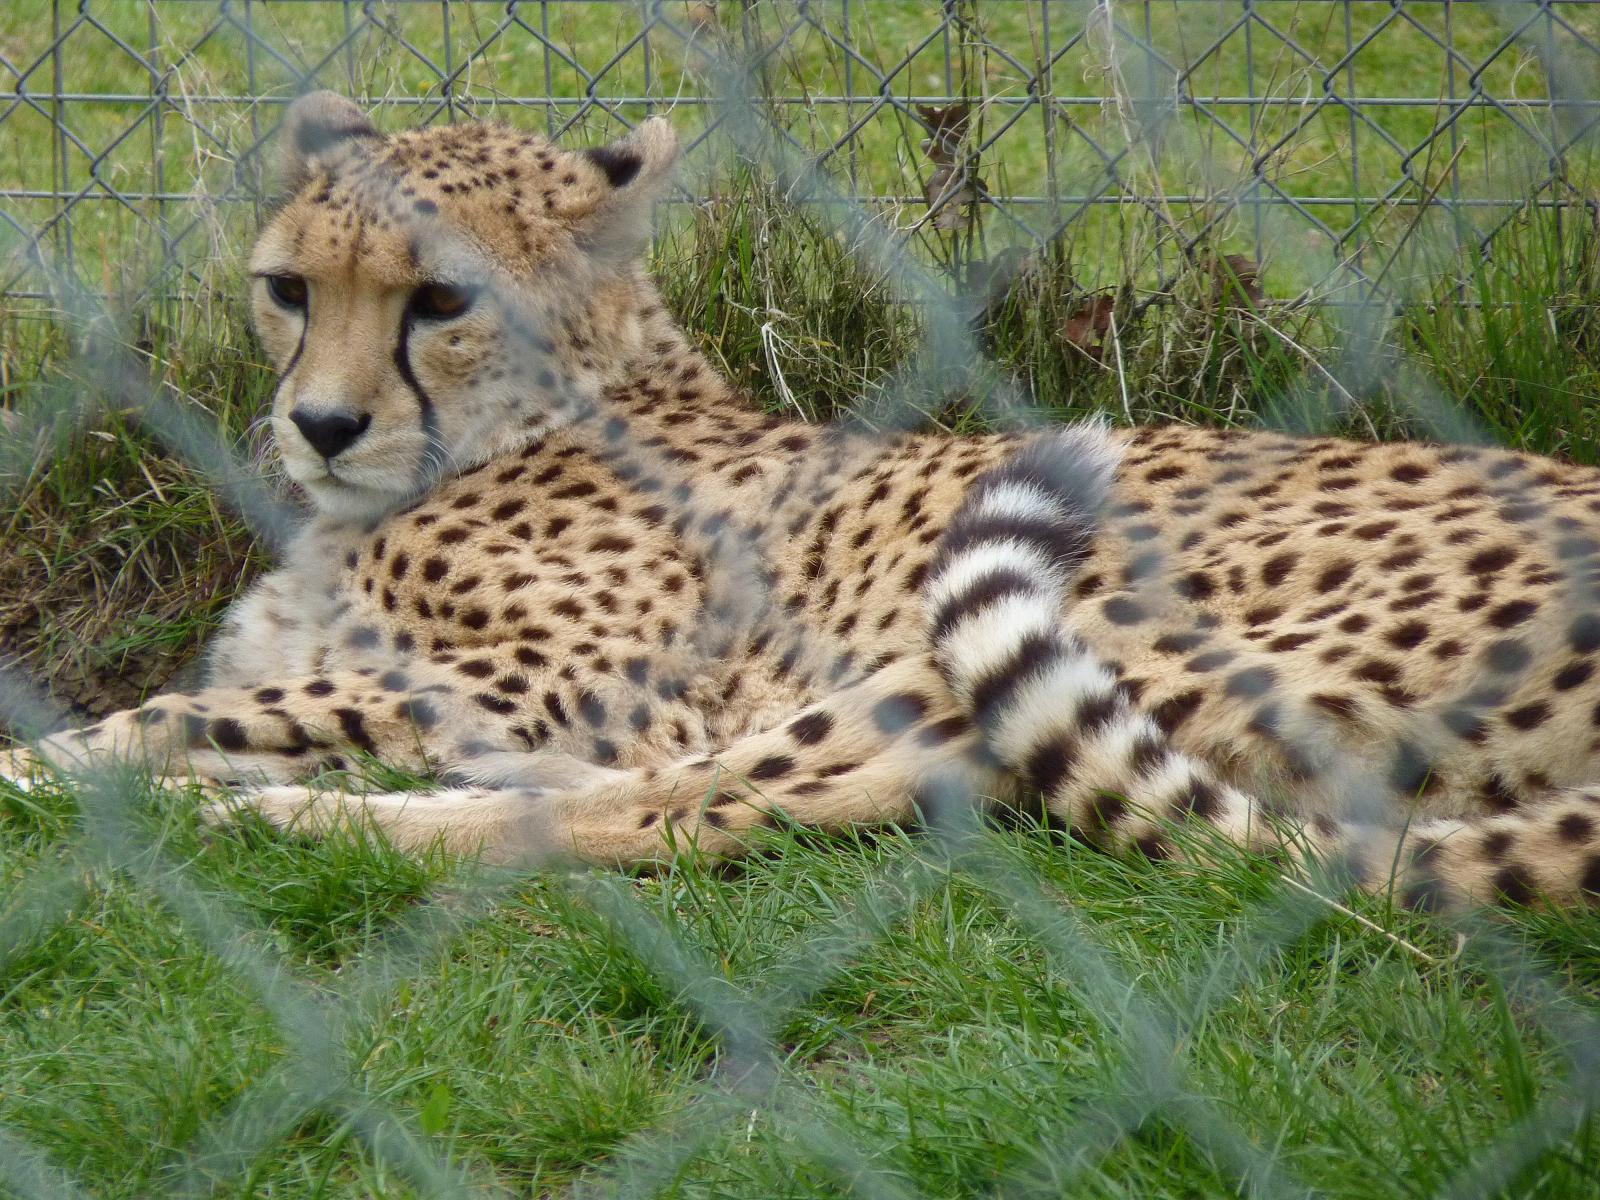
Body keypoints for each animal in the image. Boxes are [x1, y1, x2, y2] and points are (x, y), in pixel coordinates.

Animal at [11, 90, 1600, 913]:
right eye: (289, 289)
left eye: (440, 301)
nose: (321, 425)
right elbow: (230, 694)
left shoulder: (585, 690)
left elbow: (194, 706)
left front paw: (60, 764)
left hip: (1048, 637)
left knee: (716, 810)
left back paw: (272, 820)